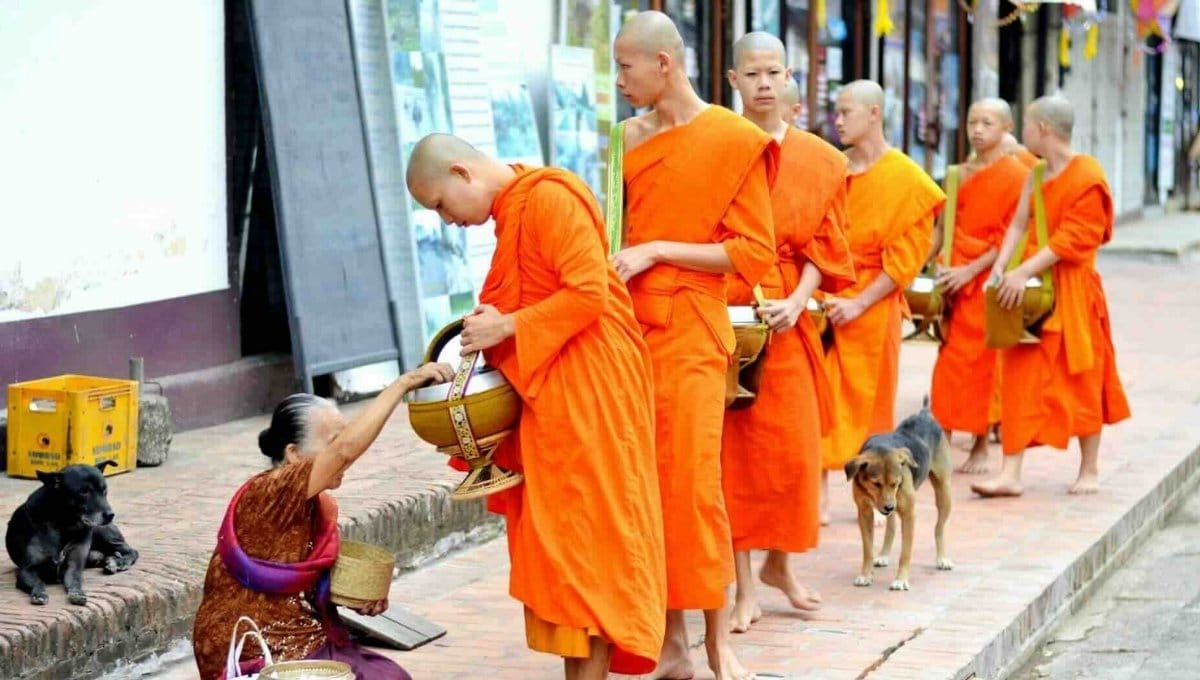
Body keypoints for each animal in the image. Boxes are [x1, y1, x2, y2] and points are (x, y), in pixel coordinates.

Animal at [6, 462, 138, 606]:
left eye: (104, 491)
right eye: (83, 492)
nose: (110, 515)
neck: (64, 524)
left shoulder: (74, 566)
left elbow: (75, 581)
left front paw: (77, 593)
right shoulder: (27, 570)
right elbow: (38, 582)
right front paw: (39, 593)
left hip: (102, 532)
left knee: (132, 550)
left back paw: (120, 562)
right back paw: (110, 561)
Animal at [849, 405, 950, 590]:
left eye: (896, 483)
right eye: (876, 483)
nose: (889, 507)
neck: (881, 446)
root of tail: (924, 414)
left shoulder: (909, 514)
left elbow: (905, 553)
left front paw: (901, 580)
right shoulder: (865, 512)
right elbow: (867, 550)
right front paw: (865, 575)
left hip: (944, 492)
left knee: (938, 528)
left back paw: (942, 558)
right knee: (891, 527)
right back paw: (883, 555)